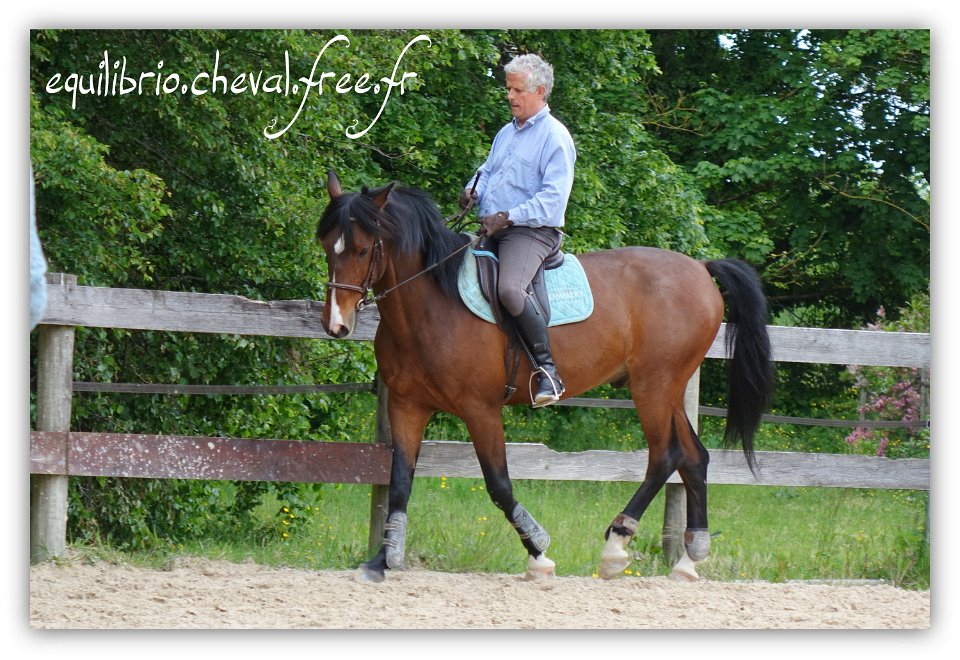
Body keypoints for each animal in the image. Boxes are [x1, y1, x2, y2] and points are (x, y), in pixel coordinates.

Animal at [316, 170, 772, 584]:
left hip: (654, 386)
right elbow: (399, 482)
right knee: (694, 458)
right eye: (326, 246)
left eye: (361, 249)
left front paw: (538, 555)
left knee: (665, 456)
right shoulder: (407, 405)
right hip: (669, 387)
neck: (432, 305)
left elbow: (499, 485)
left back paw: (616, 544)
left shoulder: (480, 409)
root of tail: (700, 267)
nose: (336, 325)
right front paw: (381, 561)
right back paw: (688, 561)